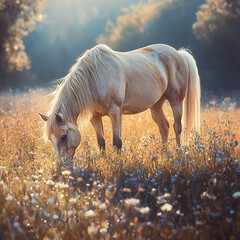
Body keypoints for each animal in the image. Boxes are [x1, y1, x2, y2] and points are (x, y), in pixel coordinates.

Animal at [39, 43, 201, 159]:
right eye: (51, 139)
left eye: (64, 136)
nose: (62, 167)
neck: (94, 78)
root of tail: (179, 53)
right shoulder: (95, 117)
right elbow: (101, 143)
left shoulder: (115, 112)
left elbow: (117, 143)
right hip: (156, 105)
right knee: (164, 127)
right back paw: (164, 154)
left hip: (176, 101)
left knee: (177, 127)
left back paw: (178, 154)